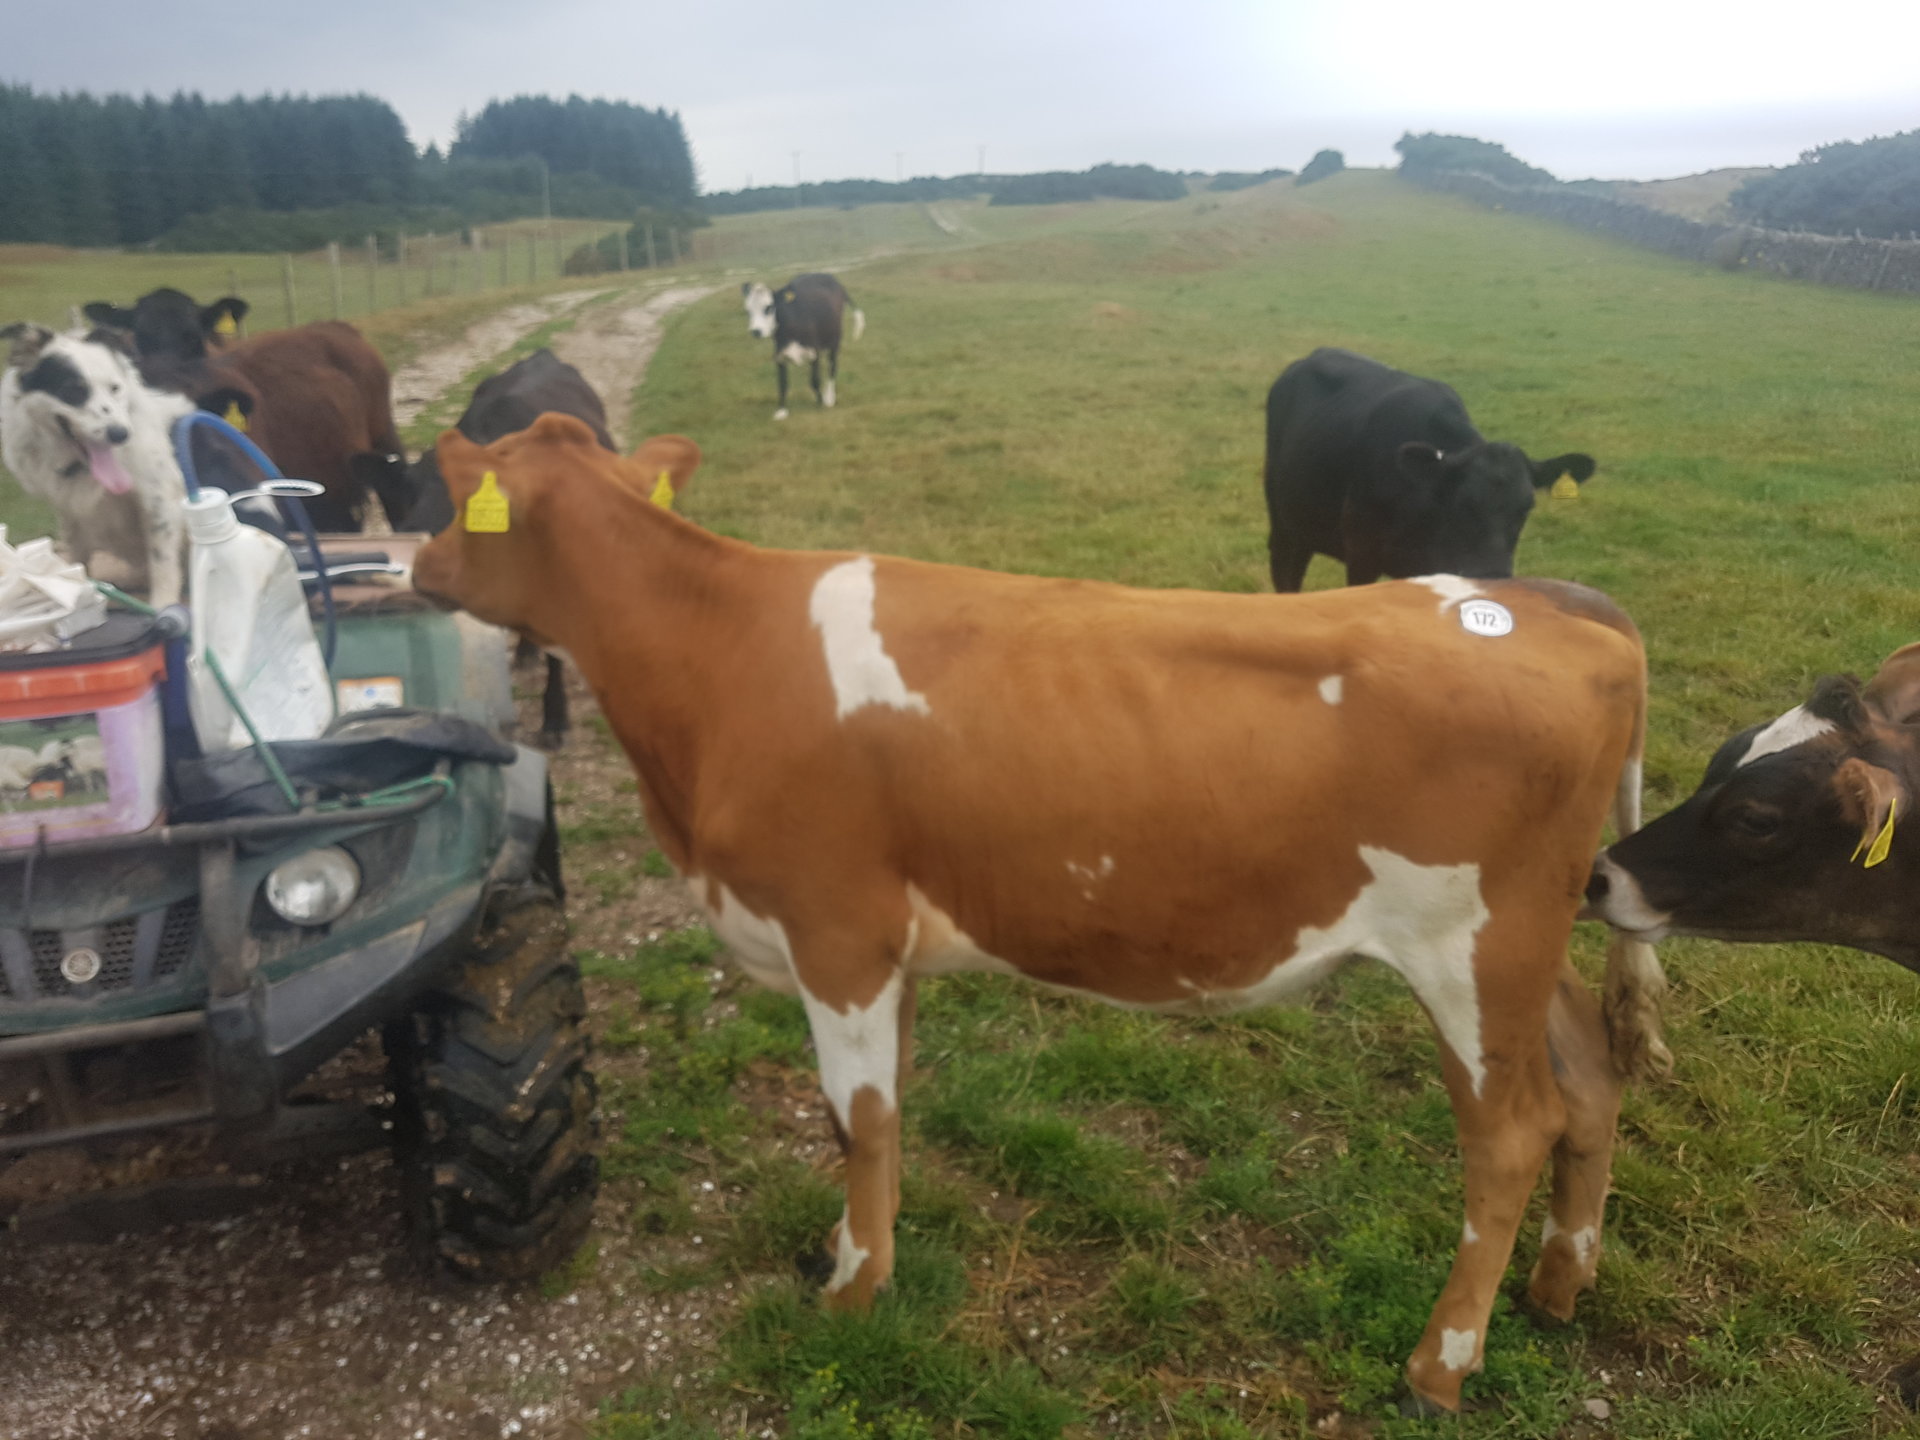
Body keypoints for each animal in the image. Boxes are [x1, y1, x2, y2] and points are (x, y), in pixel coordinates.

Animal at [411, 412, 1671, 1414]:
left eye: (459, 496)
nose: (414, 565)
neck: (716, 655)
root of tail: (1554, 602)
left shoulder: (836, 932)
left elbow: (857, 1119)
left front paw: (853, 1293)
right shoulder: (889, 948)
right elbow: (881, 1111)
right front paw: (855, 1251)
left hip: (1473, 952)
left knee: (1511, 1135)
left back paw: (1437, 1366)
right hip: (1529, 946)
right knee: (1588, 1081)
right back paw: (1561, 1283)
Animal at [741, 273, 865, 420]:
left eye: (769, 307)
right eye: (748, 311)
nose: (756, 331)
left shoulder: (814, 353)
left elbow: (814, 381)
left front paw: (821, 403)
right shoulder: (779, 356)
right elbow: (782, 383)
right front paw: (782, 410)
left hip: (835, 341)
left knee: (832, 367)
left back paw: (830, 397)